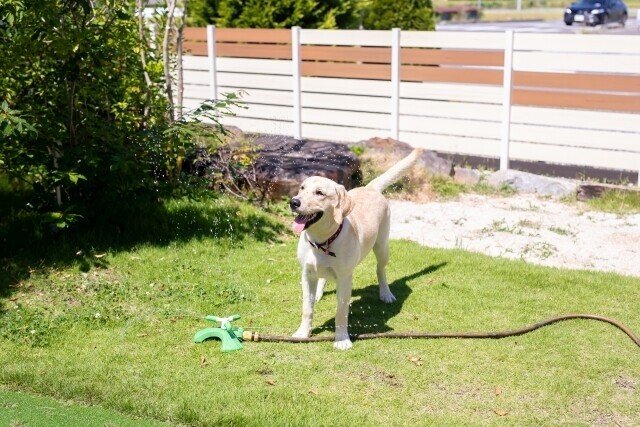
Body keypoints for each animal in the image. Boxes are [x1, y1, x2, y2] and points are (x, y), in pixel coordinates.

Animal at [292, 149, 422, 350]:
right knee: (324, 276)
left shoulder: (345, 279)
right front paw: (303, 332)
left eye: (319, 193)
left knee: (381, 270)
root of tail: (370, 188)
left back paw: (386, 293)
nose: (293, 202)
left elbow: (341, 312)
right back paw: (320, 292)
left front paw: (341, 339)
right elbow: (307, 308)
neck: (323, 240)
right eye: (301, 188)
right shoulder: (307, 274)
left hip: (382, 247)